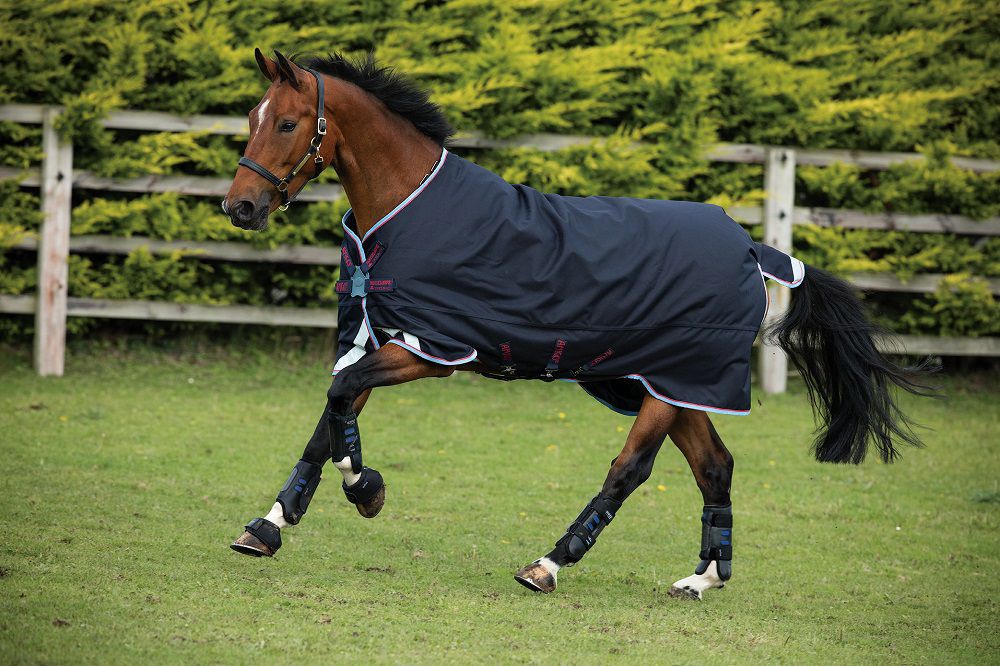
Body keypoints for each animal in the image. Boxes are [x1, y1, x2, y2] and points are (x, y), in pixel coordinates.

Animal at [223, 49, 924, 600]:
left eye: (287, 122)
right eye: (253, 118)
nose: (240, 207)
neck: (409, 206)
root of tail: (753, 248)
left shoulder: (429, 348)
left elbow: (341, 400)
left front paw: (365, 490)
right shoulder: (378, 338)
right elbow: (331, 418)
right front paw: (269, 526)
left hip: (672, 385)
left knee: (630, 469)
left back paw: (550, 564)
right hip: (671, 385)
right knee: (716, 466)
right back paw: (702, 578)